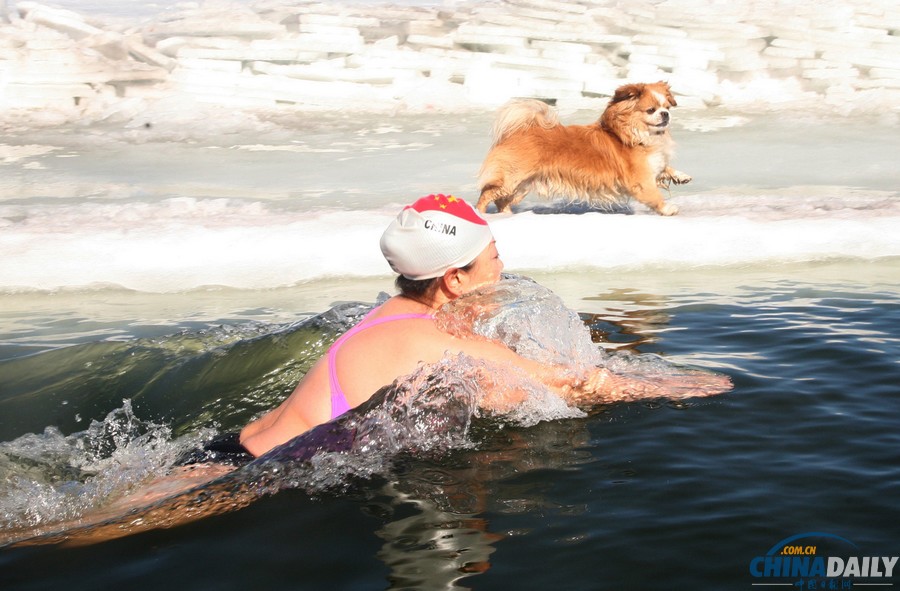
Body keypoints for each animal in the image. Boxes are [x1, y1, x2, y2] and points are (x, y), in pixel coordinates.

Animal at [478, 80, 688, 215]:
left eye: (667, 107)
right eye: (651, 110)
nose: (665, 114)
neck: (639, 135)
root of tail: (517, 131)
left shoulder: (654, 164)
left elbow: (665, 169)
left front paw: (681, 176)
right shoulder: (641, 180)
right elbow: (654, 195)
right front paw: (667, 209)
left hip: (521, 186)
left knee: (501, 200)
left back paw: (506, 215)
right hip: (511, 179)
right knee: (487, 194)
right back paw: (481, 215)